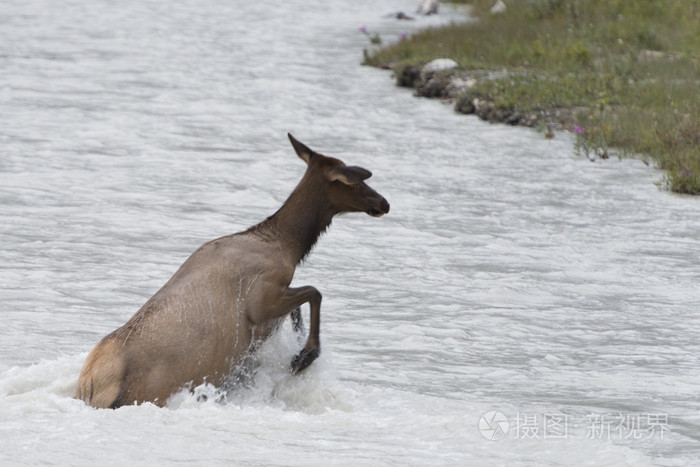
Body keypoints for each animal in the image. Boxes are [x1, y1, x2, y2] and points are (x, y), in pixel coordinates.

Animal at [79, 133, 392, 408]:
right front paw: (304, 355)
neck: (288, 246)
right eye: (353, 181)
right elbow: (314, 292)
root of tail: (91, 384)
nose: (384, 202)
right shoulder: (262, 302)